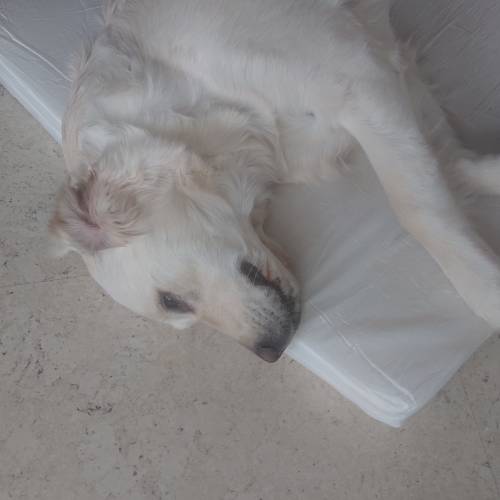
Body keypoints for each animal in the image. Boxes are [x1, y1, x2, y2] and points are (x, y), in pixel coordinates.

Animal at [50, 0, 500, 362]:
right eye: (178, 310)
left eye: (171, 300)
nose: (270, 354)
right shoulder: (376, 83)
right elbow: (449, 163)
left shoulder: (357, 82)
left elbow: (418, 208)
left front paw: (488, 294)